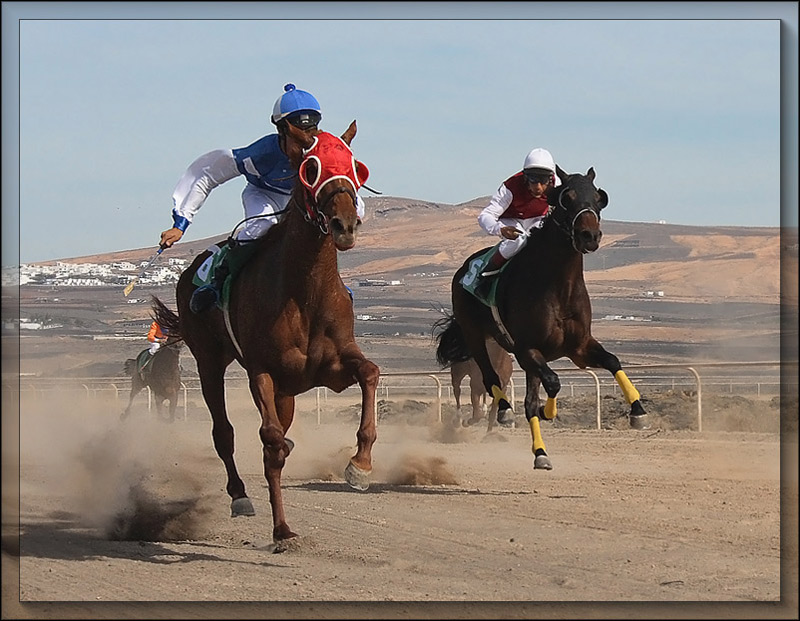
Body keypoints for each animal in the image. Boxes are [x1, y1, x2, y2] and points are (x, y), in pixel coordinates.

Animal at [152, 118, 380, 540]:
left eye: (355, 167)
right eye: (310, 168)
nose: (344, 224)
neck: (305, 291)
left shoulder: (333, 367)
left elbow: (370, 373)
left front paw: (360, 464)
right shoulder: (262, 370)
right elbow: (269, 443)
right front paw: (282, 530)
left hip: (287, 390)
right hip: (209, 362)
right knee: (223, 432)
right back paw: (240, 495)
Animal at [434, 165, 648, 470]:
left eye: (598, 198)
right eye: (566, 198)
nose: (589, 236)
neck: (559, 286)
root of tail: (464, 268)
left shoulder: (579, 347)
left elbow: (612, 361)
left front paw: (638, 410)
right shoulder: (526, 349)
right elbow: (553, 383)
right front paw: (549, 411)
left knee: (527, 399)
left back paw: (540, 452)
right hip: (475, 336)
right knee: (491, 379)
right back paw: (507, 413)